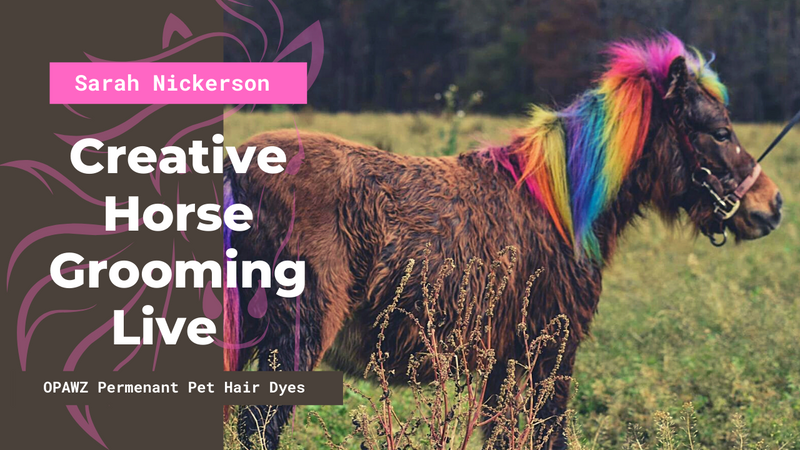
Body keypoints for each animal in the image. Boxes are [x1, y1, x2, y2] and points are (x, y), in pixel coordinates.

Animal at [222, 33, 782, 449]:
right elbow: (547, 434)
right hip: (293, 342)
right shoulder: (549, 353)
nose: (771, 205)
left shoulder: (504, 363)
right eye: (719, 131)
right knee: (258, 430)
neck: (559, 209)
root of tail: (236, 169)